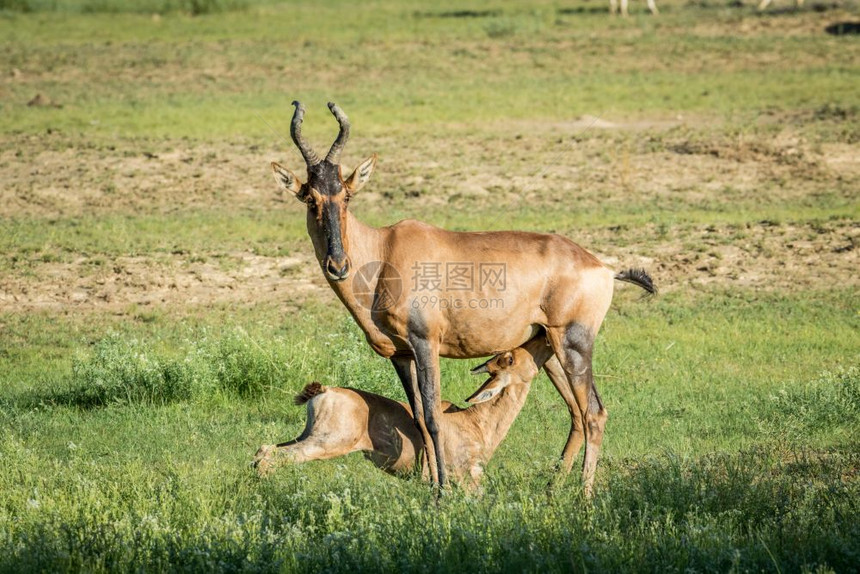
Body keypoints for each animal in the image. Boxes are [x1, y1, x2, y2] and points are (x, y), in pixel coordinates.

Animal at [252, 338, 556, 490]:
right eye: (509, 358)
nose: (544, 339)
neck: (473, 420)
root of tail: (324, 390)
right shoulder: (469, 479)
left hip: (307, 435)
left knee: (264, 449)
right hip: (327, 442)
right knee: (275, 457)